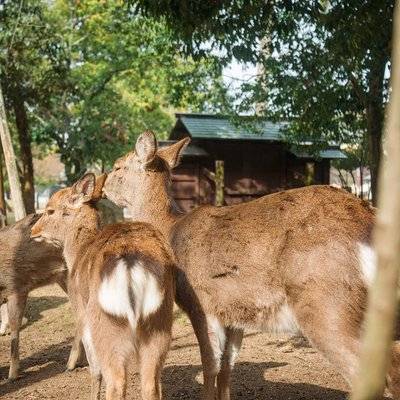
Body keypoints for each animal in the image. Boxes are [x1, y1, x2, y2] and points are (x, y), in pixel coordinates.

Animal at [30, 173, 174, 400]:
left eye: (49, 210)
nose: (33, 231)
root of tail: (130, 261)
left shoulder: (81, 313)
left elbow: (94, 368)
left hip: (106, 325)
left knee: (115, 380)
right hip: (160, 323)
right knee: (151, 383)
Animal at [103, 130, 400, 398]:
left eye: (118, 165)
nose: (103, 182)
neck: (170, 230)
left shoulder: (200, 303)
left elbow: (209, 365)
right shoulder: (234, 312)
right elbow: (227, 367)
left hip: (327, 301)